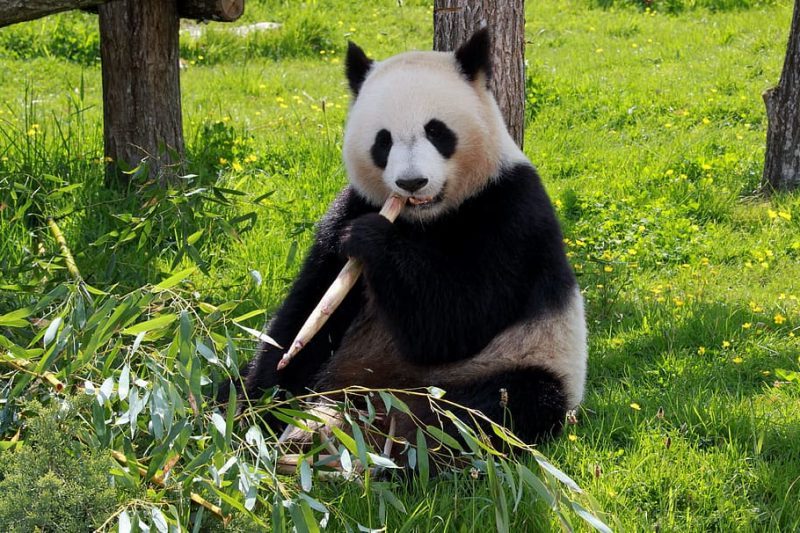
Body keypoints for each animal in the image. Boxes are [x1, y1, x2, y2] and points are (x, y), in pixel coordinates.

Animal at [242, 29, 587, 446]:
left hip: (522, 361)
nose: (411, 182)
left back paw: (407, 444)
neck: (424, 218)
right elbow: (310, 309)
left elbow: (457, 319)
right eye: (383, 140)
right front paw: (261, 402)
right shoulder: (352, 205)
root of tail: (377, 397)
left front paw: (371, 239)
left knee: (502, 406)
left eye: (436, 131)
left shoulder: (511, 211)